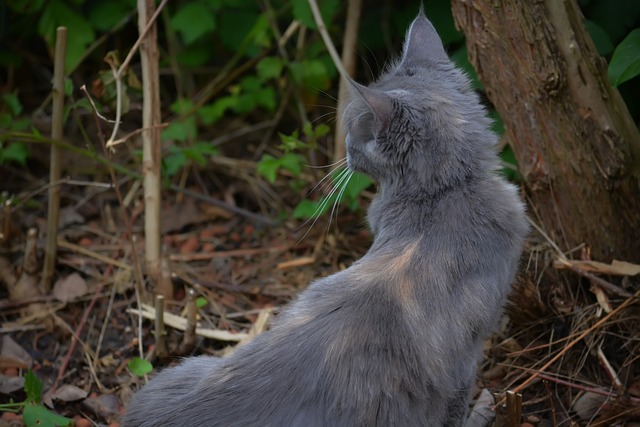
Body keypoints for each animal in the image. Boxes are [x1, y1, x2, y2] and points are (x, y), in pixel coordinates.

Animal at [122, 10, 528, 427]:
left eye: (356, 131)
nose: (346, 149)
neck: (448, 191)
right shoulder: (466, 354)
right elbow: (456, 408)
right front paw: (482, 408)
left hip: (178, 372)